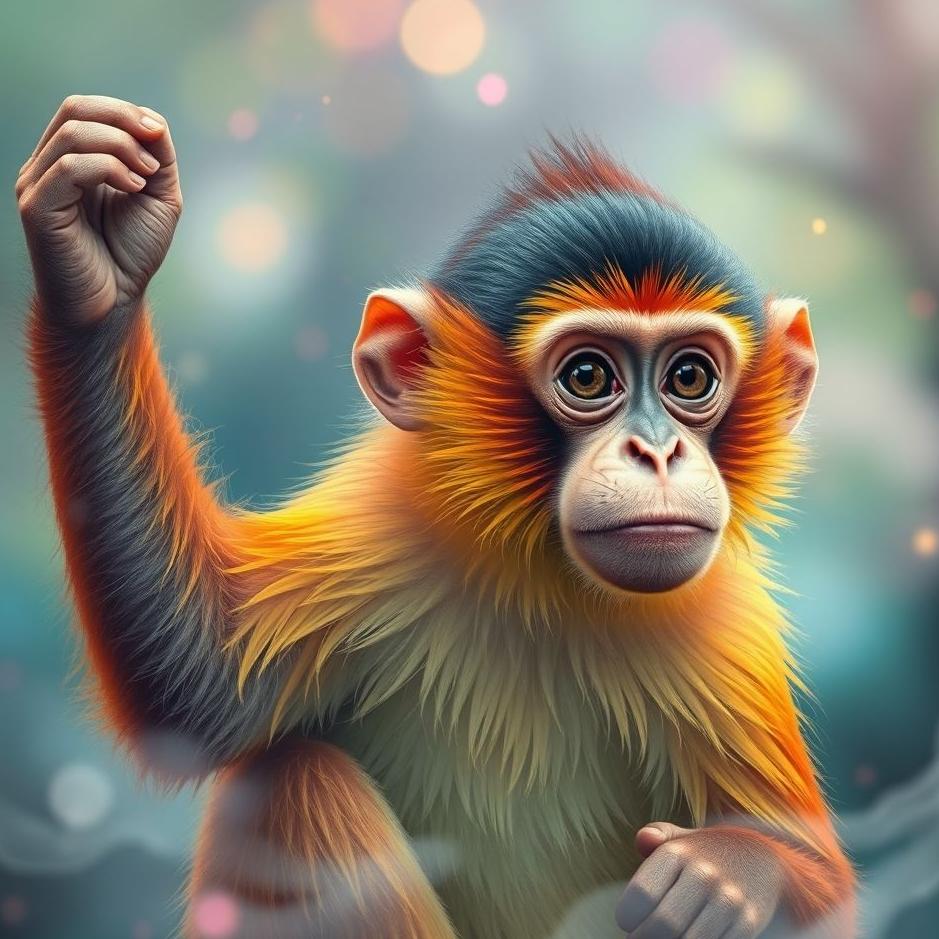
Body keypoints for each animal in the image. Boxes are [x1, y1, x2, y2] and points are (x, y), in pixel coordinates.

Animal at [17, 95, 856, 939]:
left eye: (688, 376)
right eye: (588, 375)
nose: (655, 451)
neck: (543, 575)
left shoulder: (722, 622)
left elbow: (820, 882)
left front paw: (730, 871)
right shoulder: (386, 508)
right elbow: (198, 690)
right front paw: (98, 263)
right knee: (292, 774)